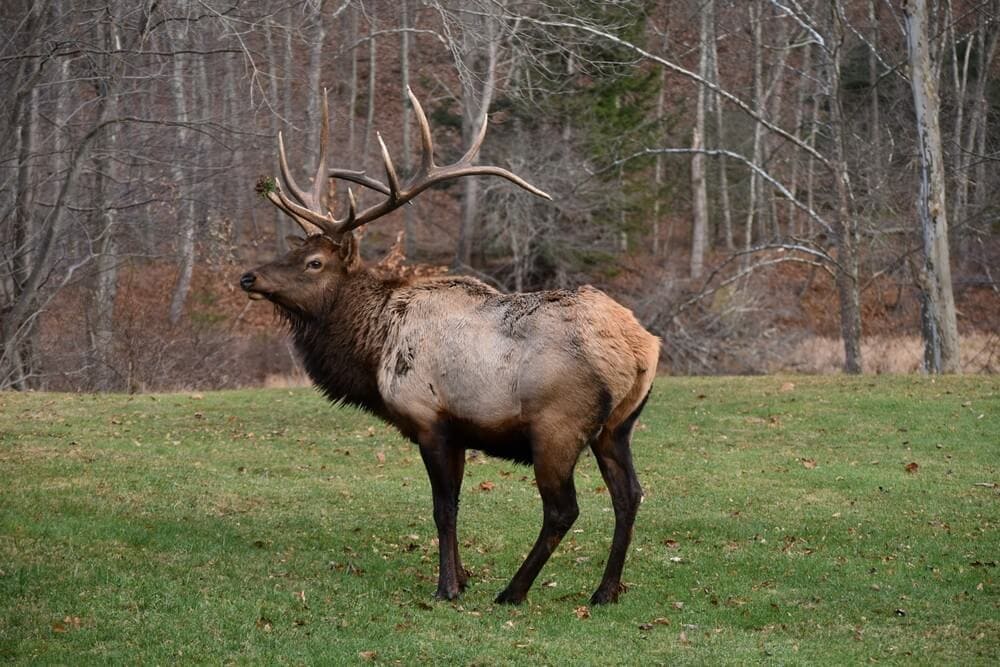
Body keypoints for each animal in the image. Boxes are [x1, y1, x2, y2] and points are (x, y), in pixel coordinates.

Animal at [239, 88, 660, 605]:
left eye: (314, 261)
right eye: (296, 248)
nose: (249, 277)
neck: (374, 349)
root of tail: (642, 349)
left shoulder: (429, 419)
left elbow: (443, 508)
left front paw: (446, 588)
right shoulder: (458, 431)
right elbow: (455, 504)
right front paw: (462, 576)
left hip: (558, 426)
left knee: (564, 508)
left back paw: (514, 591)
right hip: (617, 427)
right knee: (630, 495)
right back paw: (605, 591)